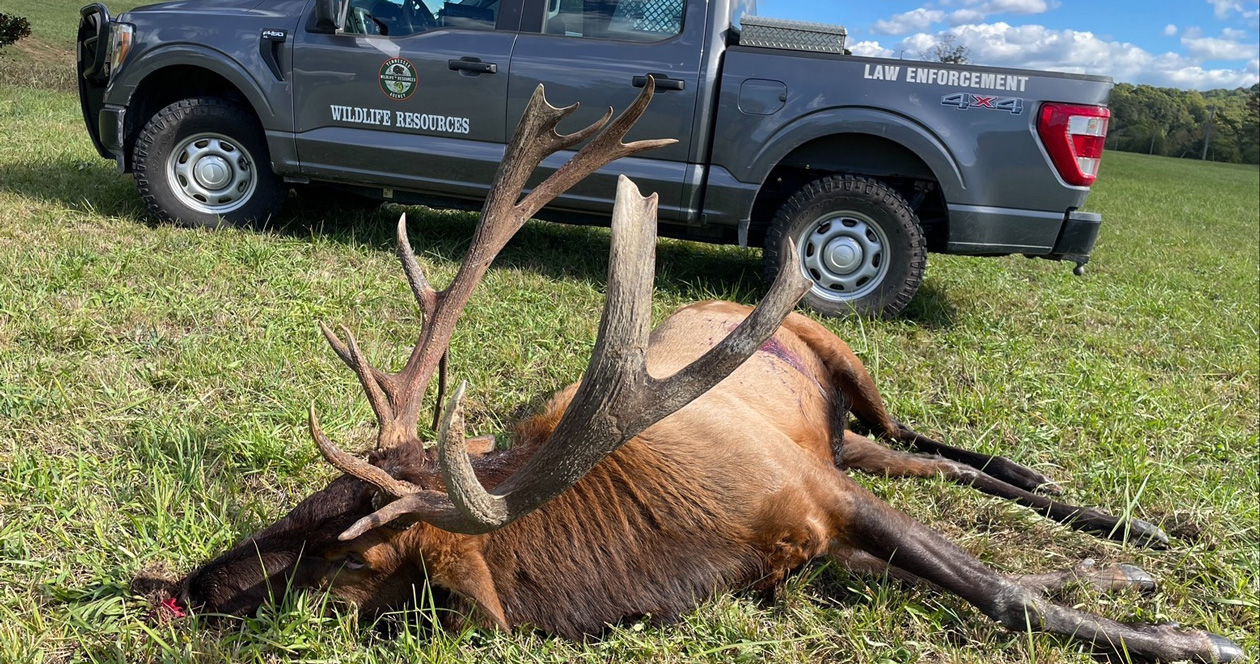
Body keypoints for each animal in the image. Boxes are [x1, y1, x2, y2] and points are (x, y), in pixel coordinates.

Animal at [168, 80, 1243, 663]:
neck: (681, 556)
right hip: (855, 445)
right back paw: (1128, 542)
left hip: (850, 375)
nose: (182, 588)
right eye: (304, 502)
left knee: (940, 445)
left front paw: (1196, 638)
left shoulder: (819, 491)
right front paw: (1121, 579)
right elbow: (991, 574)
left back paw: (1134, 519)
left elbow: (1004, 591)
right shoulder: (816, 537)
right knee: (934, 461)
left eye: (349, 561)